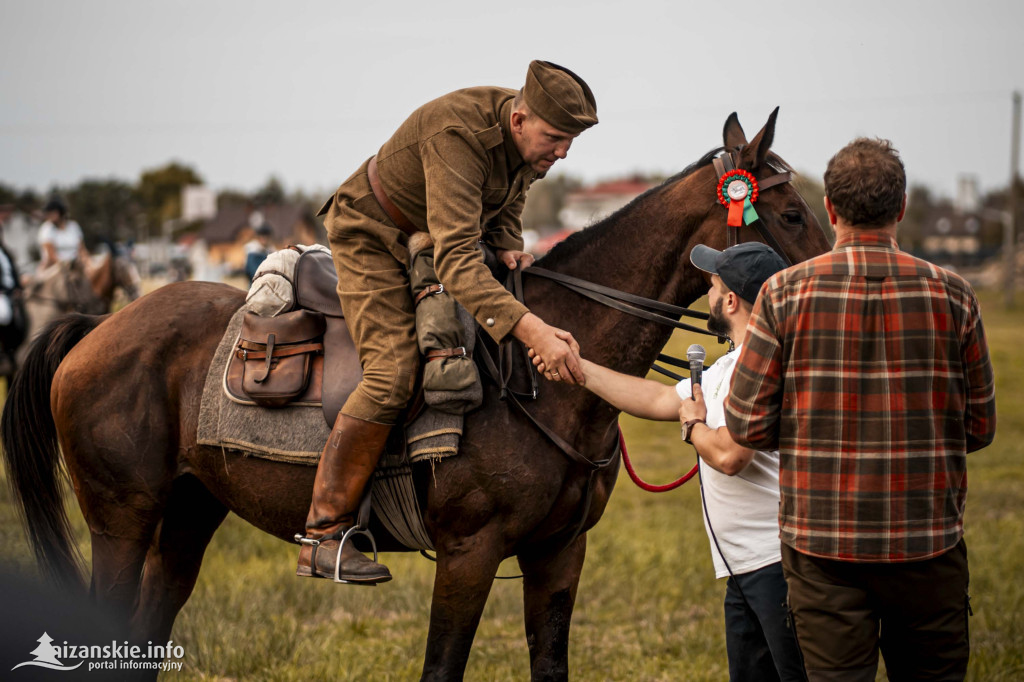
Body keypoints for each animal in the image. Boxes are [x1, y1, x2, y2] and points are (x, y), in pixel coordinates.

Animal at [2, 109, 831, 675]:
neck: (533, 380)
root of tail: (99, 327)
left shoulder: (558, 554)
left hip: (187, 516)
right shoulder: (469, 554)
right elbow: (442, 665)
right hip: (121, 522)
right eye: (791, 211)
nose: (830, 285)